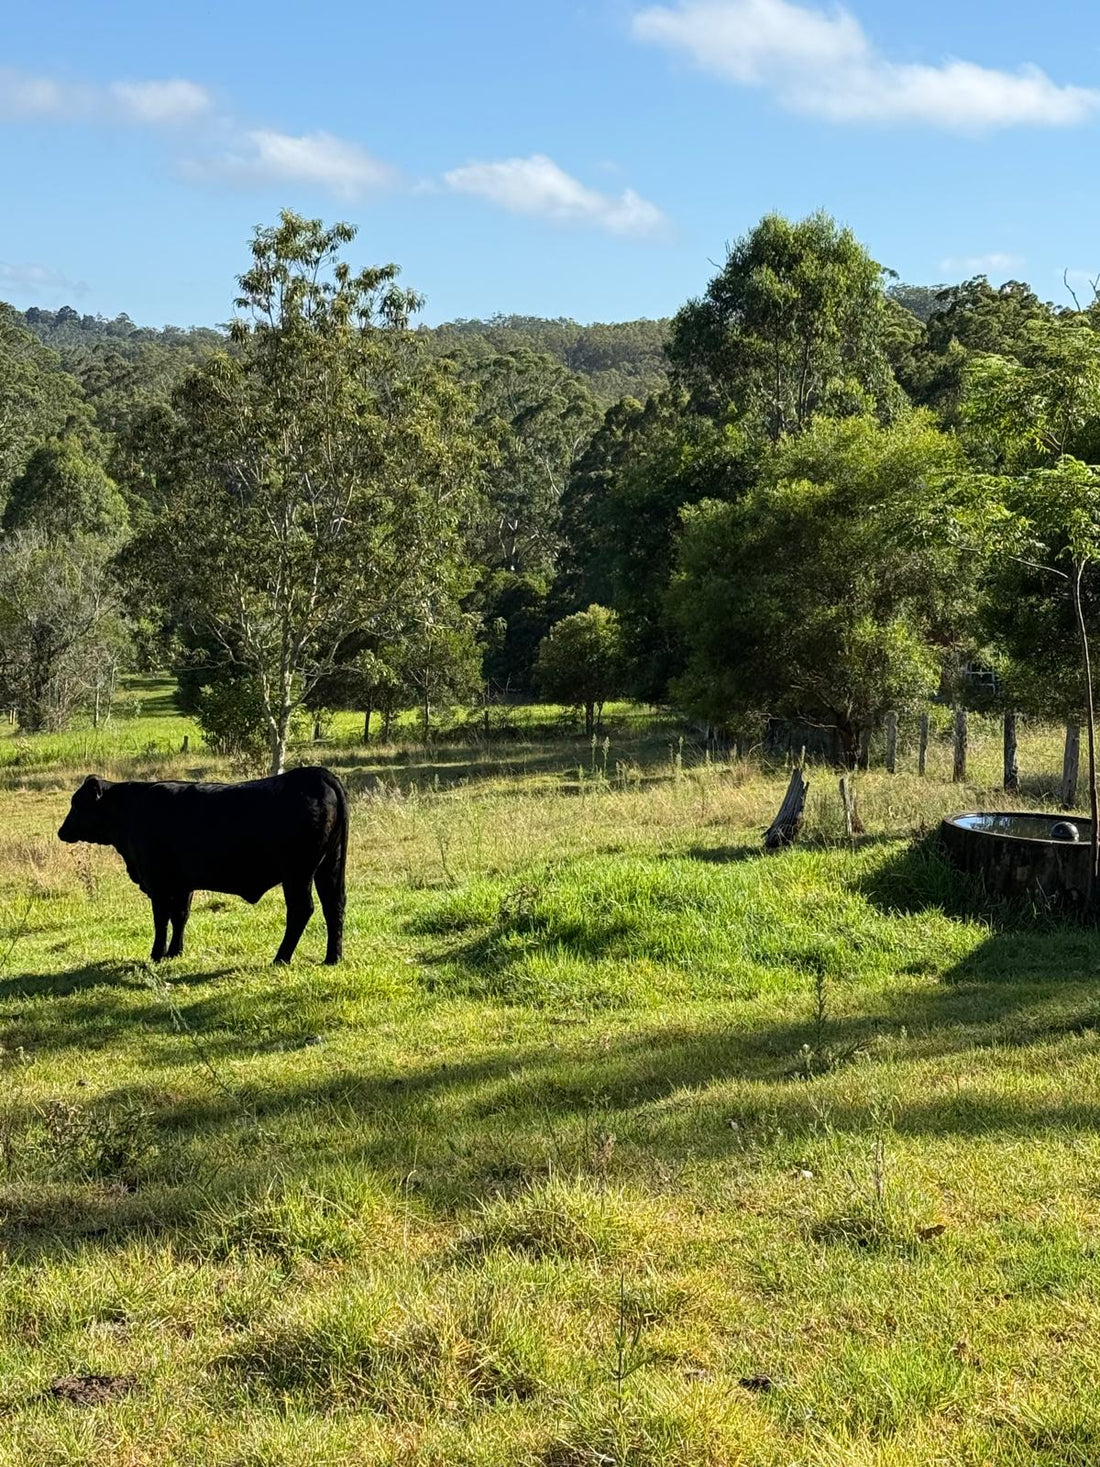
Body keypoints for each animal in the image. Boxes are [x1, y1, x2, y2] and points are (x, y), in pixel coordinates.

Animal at [58, 766, 348, 966]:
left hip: (297, 873)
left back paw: (281, 958)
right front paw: (175, 952)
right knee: (334, 905)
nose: (62, 831)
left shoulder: (158, 882)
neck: (133, 810)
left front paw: (156, 954)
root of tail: (319, 774)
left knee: (301, 909)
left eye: (77, 804)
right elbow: (180, 916)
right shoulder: (183, 884)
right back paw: (332, 958)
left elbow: (161, 919)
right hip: (328, 866)